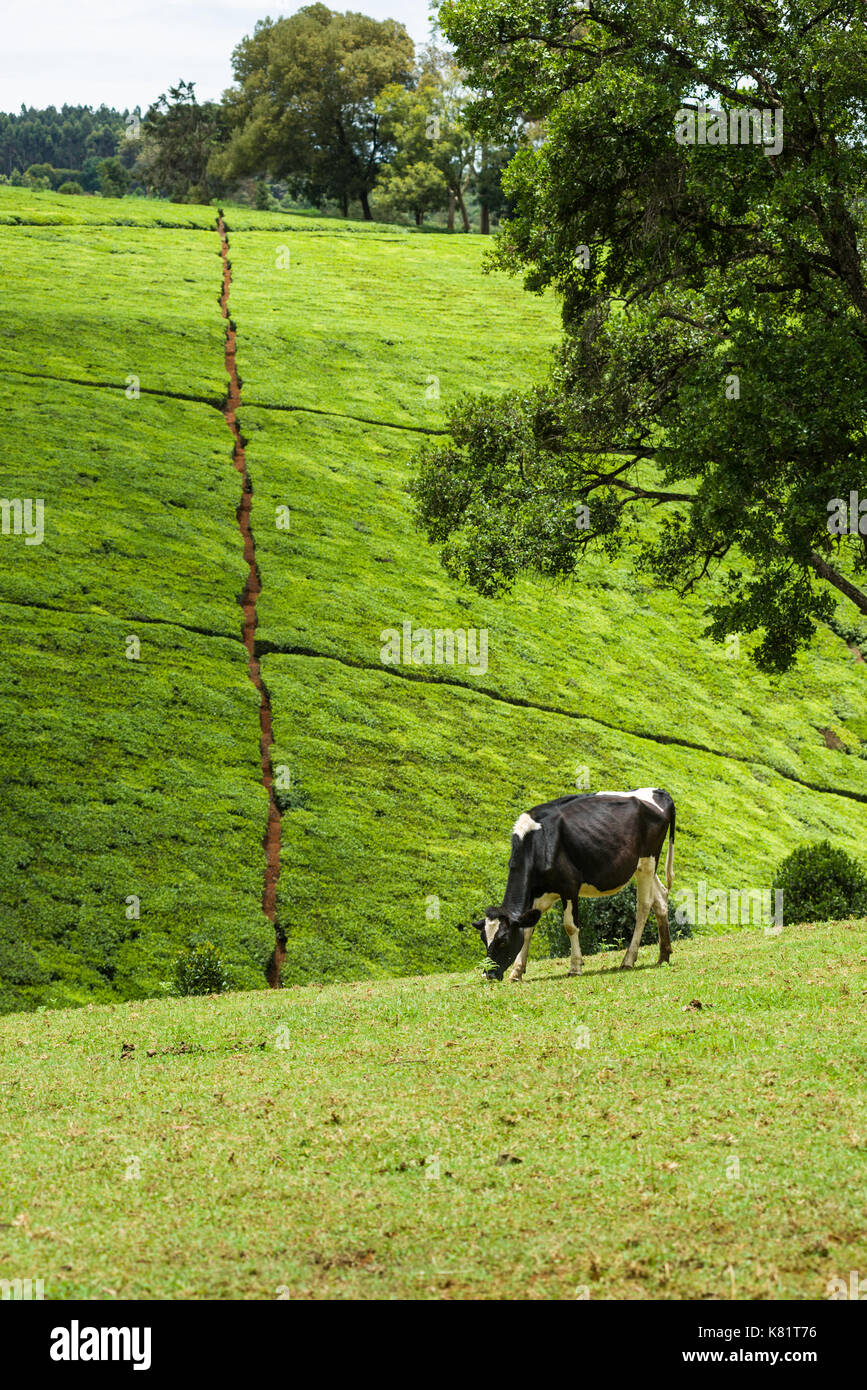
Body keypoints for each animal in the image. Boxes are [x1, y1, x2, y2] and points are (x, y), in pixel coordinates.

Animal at [466, 789, 678, 984]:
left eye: (503, 941)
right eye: (484, 939)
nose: (488, 975)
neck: (537, 843)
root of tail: (658, 791)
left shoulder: (569, 886)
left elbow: (570, 926)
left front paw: (575, 966)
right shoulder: (536, 896)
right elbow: (527, 930)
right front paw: (517, 971)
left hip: (648, 861)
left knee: (644, 906)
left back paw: (628, 959)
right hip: (642, 867)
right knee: (660, 898)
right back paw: (664, 955)